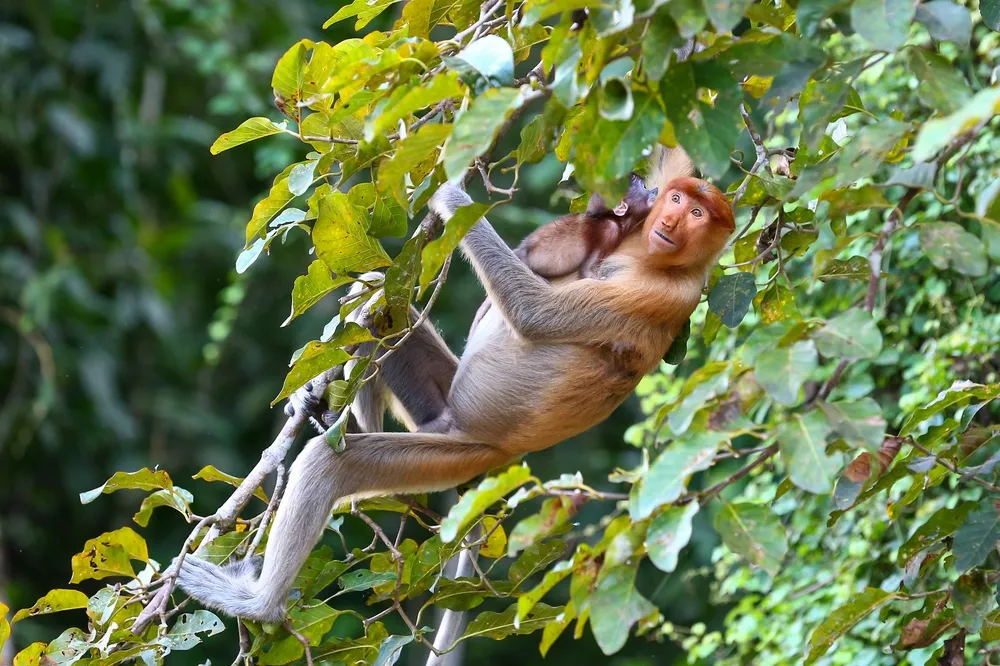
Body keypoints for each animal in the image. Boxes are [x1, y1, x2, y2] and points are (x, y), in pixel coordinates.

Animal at [172, 146, 735, 624]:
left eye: (698, 215)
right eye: (679, 201)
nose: (666, 215)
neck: (645, 251)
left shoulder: (657, 294)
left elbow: (534, 313)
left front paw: (449, 193)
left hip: (456, 454)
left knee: (331, 463)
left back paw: (259, 603)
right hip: (435, 404)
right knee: (379, 294)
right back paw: (330, 410)